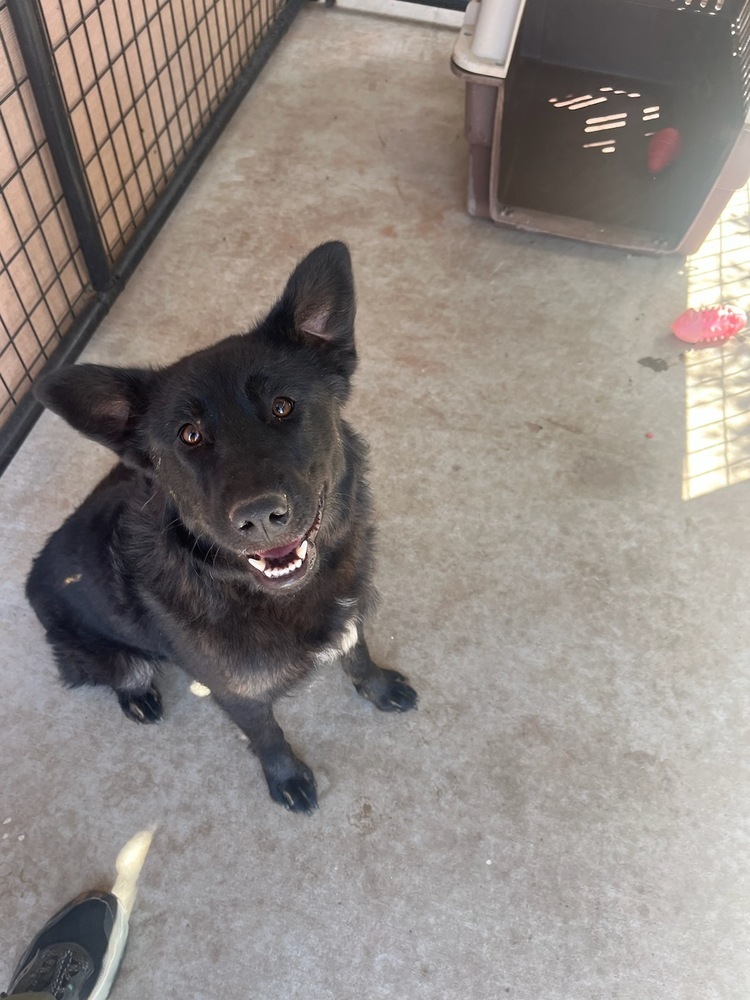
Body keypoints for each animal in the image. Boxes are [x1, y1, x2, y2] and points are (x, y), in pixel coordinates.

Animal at [26, 240, 420, 812]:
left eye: (283, 406)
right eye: (189, 435)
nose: (258, 516)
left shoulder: (349, 617)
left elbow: (359, 656)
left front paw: (379, 687)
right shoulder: (236, 694)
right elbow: (267, 735)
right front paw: (286, 778)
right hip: (108, 656)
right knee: (123, 673)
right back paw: (137, 697)